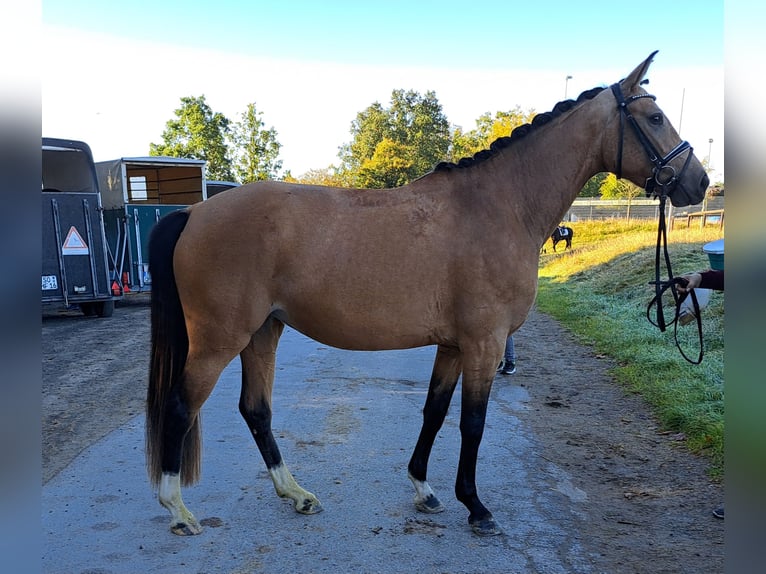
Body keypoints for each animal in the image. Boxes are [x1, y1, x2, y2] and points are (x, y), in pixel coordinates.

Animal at [142, 51, 708, 544]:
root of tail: (194, 212)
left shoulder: (455, 345)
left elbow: (434, 412)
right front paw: (476, 507)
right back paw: (178, 511)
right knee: (180, 406)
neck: (500, 206)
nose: (698, 182)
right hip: (220, 339)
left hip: (264, 331)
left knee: (256, 410)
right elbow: (472, 423)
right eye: (655, 117)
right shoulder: (484, 344)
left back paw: (296, 494)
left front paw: (424, 488)